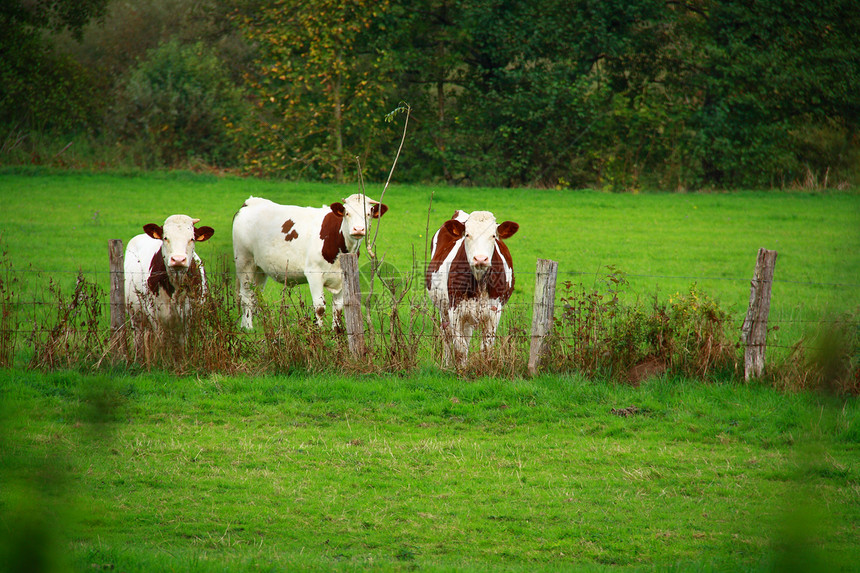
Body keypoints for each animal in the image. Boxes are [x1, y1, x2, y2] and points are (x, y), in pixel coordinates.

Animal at [122, 214, 213, 346]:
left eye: (192, 239)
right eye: (165, 238)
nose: (178, 259)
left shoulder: (188, 318)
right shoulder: (156, 317)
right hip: (136, 316)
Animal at [230, 192, 388, 328]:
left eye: (368, 214)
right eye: (347, 213)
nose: (358, 229)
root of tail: (250, 202)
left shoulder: (343, 277)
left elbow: (338, 309)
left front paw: (337, 336)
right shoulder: (314, 274)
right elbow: (319, 308)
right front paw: (320, 335)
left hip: (260, 269)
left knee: (256, 294)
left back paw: (256, 326)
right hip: (244, 261)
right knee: (246, 295)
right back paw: (248, 327)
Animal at [424, 210, 516, 366]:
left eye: (493, 235)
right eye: (467, 235)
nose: (480, 259)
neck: (479, 282)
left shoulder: (494, 311)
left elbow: (486, 347)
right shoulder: (455, 309)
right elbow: (460, 348)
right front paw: (462, 369)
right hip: (443, 308)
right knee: (447, 335)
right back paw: (447, 364)